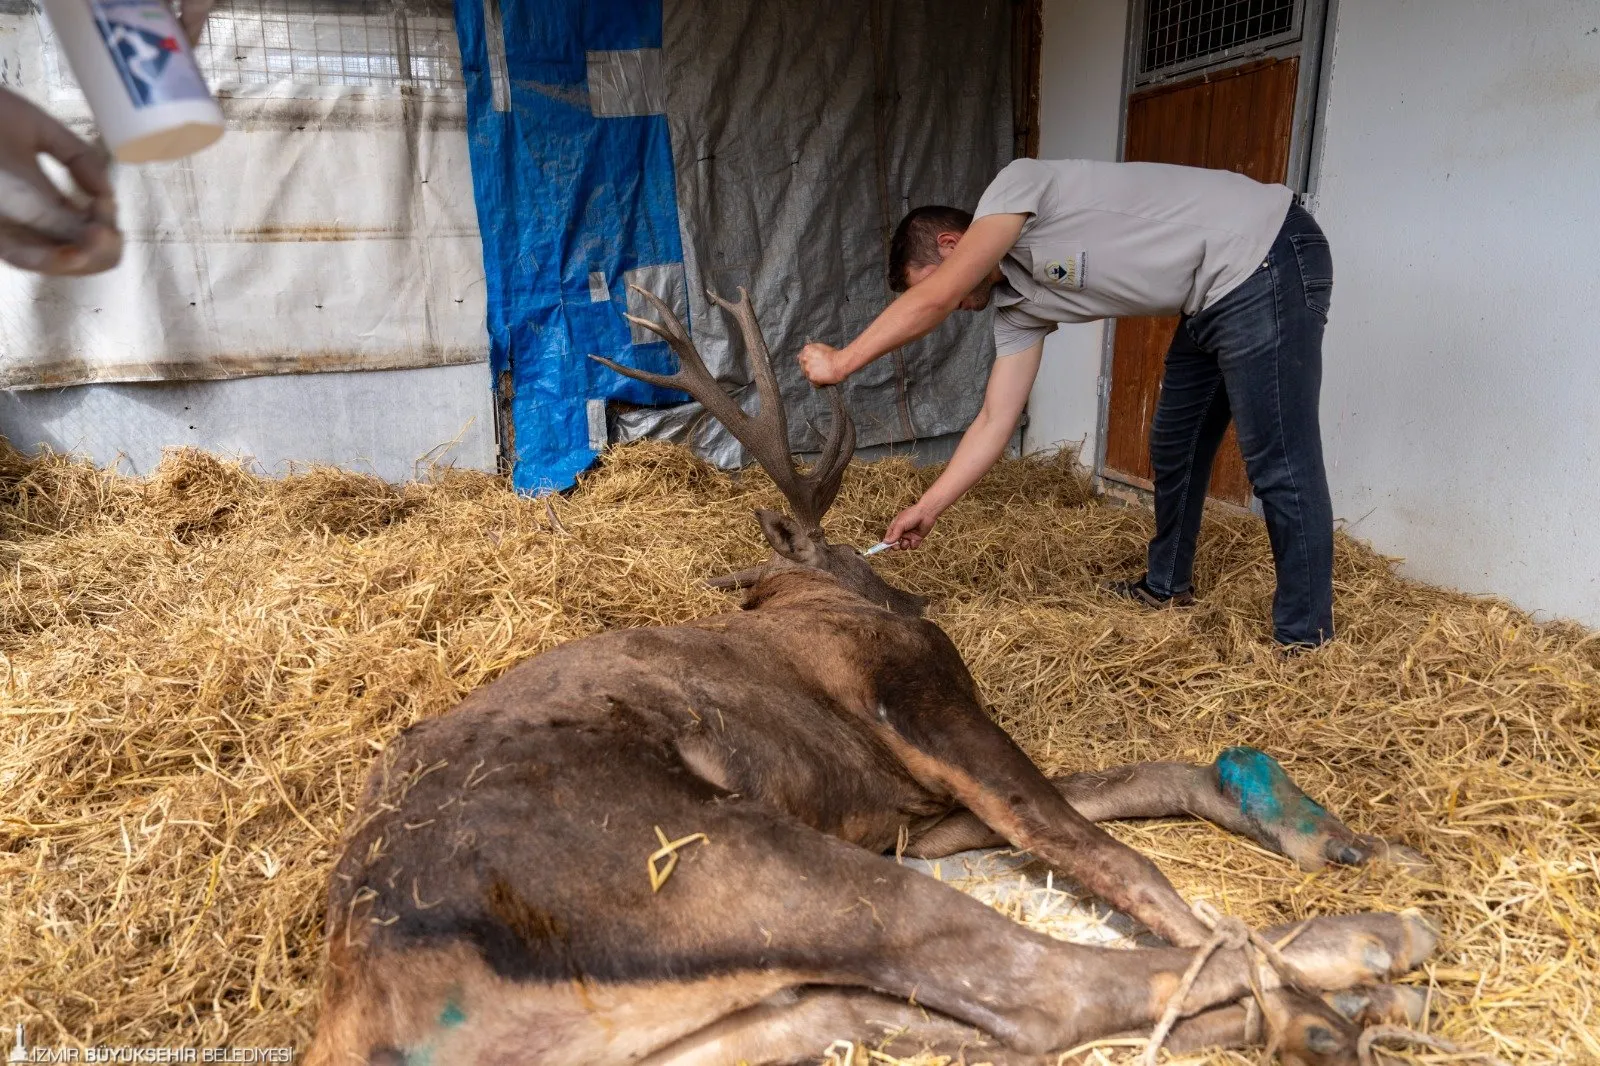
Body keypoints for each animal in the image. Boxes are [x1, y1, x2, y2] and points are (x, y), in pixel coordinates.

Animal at [300, 286, 1440, 1062]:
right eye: (850, 549)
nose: (911, 593)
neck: (803, 601)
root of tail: (372, 1011)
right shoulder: (919, 707)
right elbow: (1101, 848)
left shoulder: (912, 808)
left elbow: (1124, 788)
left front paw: (1316, 830)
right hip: (724, 858)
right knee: (1037, 986)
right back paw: (1357, 966)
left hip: (725, 1019)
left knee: (941, 1011)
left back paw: (1329, 1002)